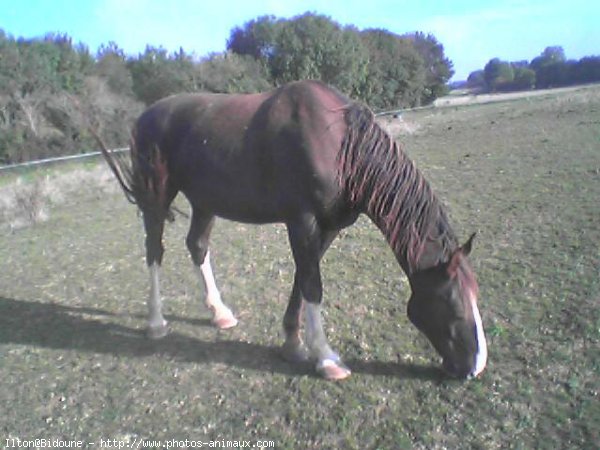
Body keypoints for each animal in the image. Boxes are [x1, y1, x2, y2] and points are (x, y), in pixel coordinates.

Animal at [95, 80, 488, 380]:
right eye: (453, 306)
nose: (475, 367)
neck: (340, 148)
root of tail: (145, 117)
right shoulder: (302, 222)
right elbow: (313, 285)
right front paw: (326, 358)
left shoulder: (327, 227)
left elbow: (303, 278)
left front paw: (293, 344)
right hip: (157, 198)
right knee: (154, 251)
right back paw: (156, 322)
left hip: (205, 203)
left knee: (197, 245)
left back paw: (219, 312)